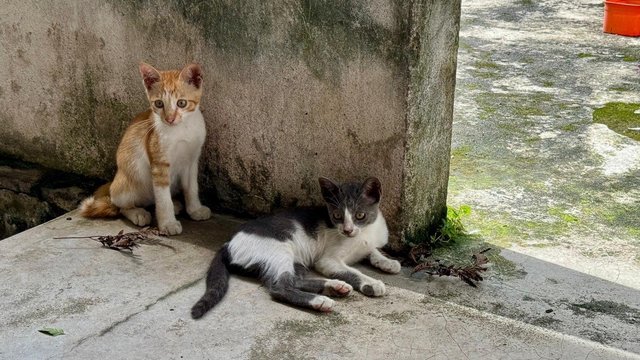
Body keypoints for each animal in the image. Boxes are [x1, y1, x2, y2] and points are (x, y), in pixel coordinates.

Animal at [79, 63, 211, 235]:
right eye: (159, 104)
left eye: (181, 103)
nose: (170, 119)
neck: (182, 129)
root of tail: (113, 182)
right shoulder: (158, 164)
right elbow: (163, 199)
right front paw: (168, 223)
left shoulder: (192, 160)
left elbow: (192, 187)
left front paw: (195, 209)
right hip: (129, 182)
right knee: (121, 205)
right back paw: (138, 213)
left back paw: (175, 204)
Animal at [190, 177, 400, 318]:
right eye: (337, 216)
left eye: (360, 215)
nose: (348, 230)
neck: (363, 234)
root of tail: (228, 243)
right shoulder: (328, 260)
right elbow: (353, 271)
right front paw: (372, 283)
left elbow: (372, 251)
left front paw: (387, 262)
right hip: (279, 251)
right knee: (281, 286)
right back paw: (320, 300)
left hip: (295, 262)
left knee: (294, 280)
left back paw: (334, 287)